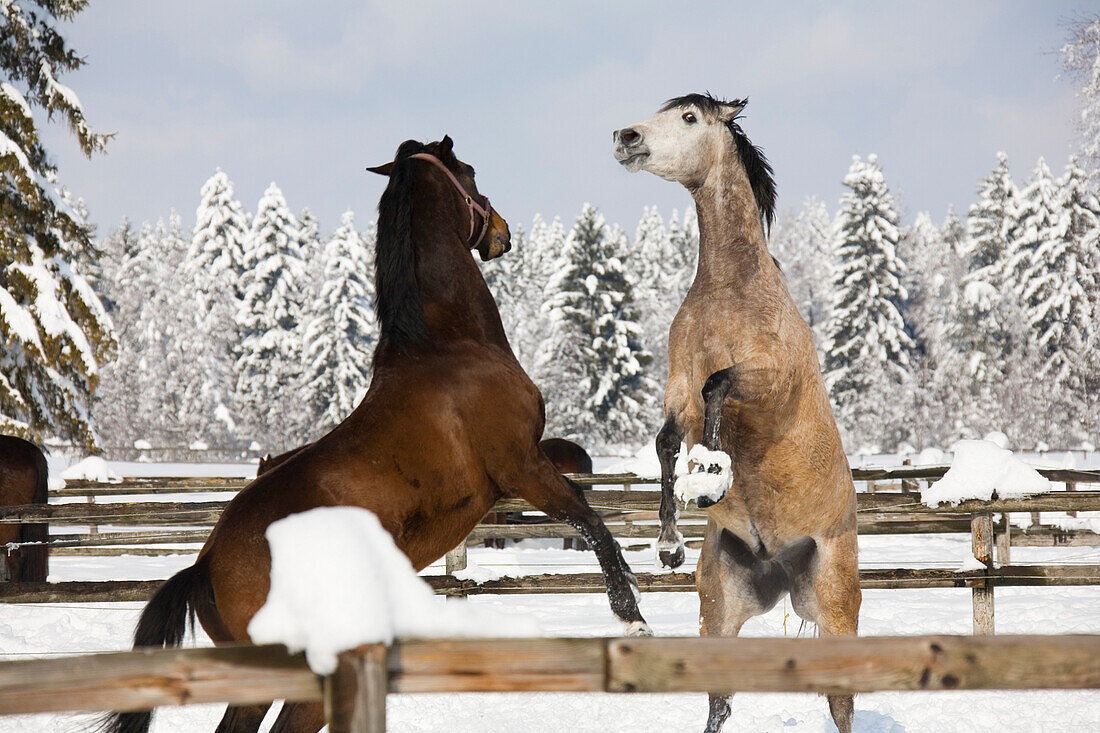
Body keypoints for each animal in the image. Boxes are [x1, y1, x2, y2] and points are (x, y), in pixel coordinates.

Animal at [103, 135, 646, 730]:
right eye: (470, 171)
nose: (502, 231)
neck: (447, 346)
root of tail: (204, 567)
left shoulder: (519, 470)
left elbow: (584, 500)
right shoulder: (518, 466)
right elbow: (588, 518)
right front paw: (631, 614)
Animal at [611, 94, 858, 726]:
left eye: (689, 118)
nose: (626, 137)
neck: (731, 292)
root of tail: (781, 572)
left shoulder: (769, 384)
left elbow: (718, 387)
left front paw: (712, 478)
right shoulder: (677, 384)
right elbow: (668, 438)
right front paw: (669, 542)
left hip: (836, 604)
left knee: (842, 701)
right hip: (720, 606)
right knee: (720, 701)